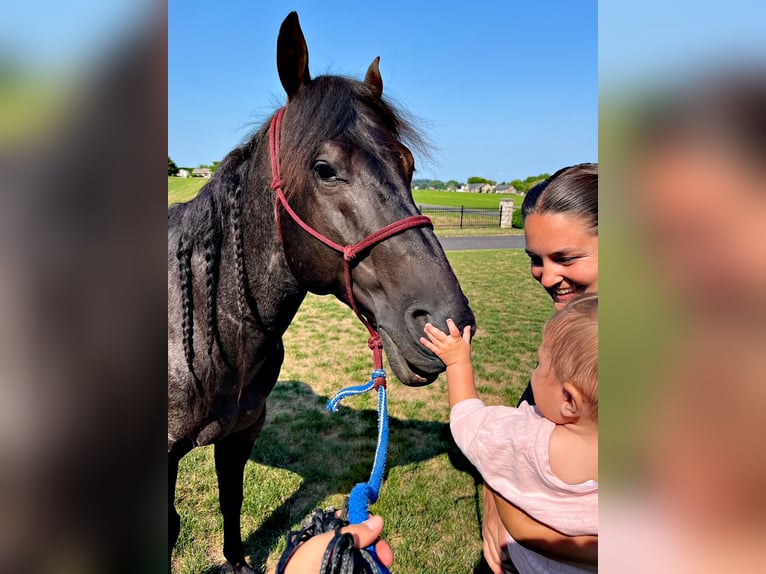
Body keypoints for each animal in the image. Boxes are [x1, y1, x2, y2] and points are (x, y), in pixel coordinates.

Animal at [170, 11, 474, 572]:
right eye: (324, 169)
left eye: (408, 164)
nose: (450, 321)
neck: (205, 323)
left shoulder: (241, 433)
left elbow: (232, 498)